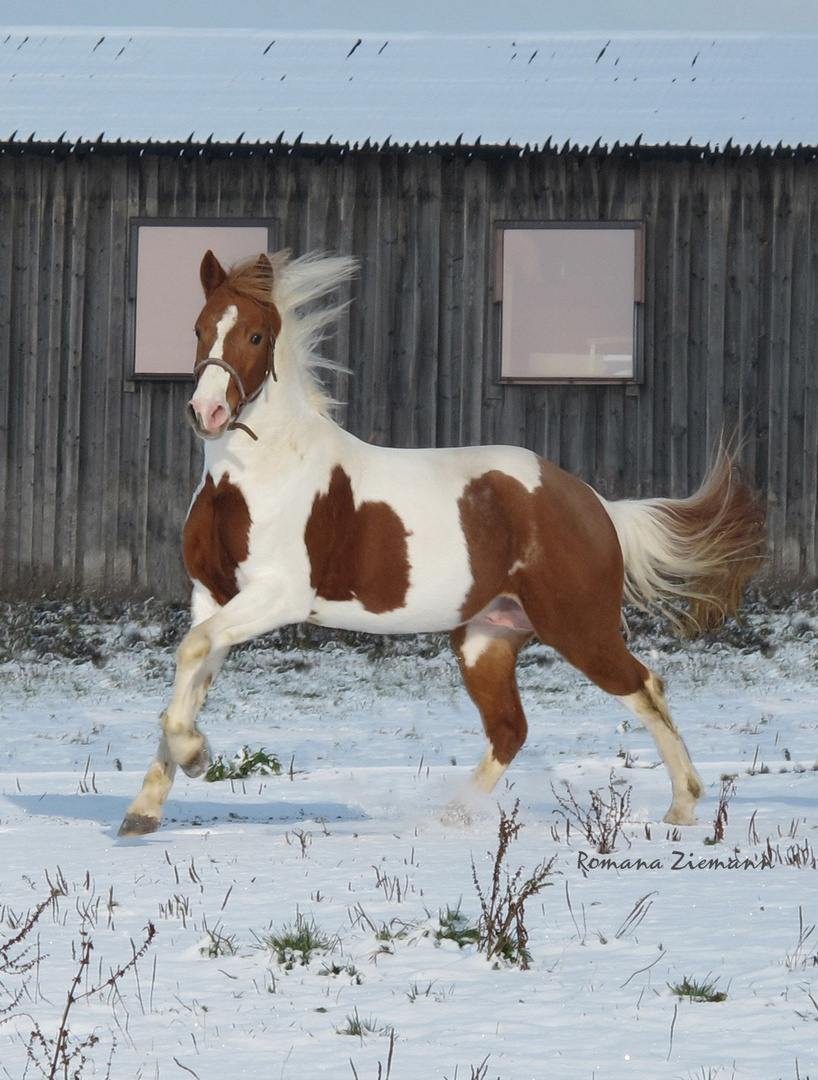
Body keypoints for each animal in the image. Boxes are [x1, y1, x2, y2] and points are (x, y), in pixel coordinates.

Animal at [116, 248, 765, 838]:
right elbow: (188, 677)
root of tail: (592, 503)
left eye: (254, 334)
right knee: (510, 729)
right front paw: (144, 810)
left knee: (644, 688)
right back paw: (450, 819)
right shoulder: (214, 597)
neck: (253, 477)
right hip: (486, 639)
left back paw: (683, 806)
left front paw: (197, 757)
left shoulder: (278, 596)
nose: (207, 411)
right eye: (199, 328)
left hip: (578, 628)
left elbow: (190, 654)